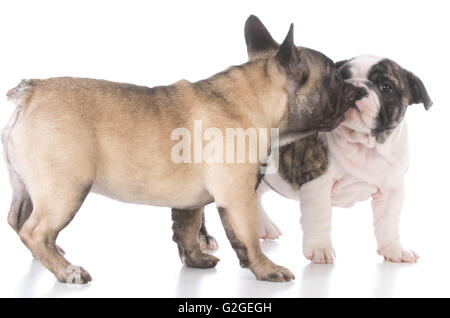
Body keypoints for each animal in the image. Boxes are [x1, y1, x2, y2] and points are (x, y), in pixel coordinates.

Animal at [0, 15, 358, 284]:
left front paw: (196, 259)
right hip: (66, 188)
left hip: (26, 184)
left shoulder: (190, 200)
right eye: (336, 80)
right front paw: (266, 269)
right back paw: (67, 271)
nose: (353, 89)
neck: (258, 101)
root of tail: (30, 93)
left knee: (17, 220)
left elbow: (186, 230)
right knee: (34, 230)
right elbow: (248, 237)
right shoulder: (237, 196)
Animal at [260, 54, 432, 264]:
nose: (356, 88)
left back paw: (264, 226)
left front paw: (394, 249)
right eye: (341, 78)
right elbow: (319, 217)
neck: (365, 145)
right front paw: (320, 248)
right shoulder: (317, 183)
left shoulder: (392, 190)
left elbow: (388, 221)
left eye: (386, 87)